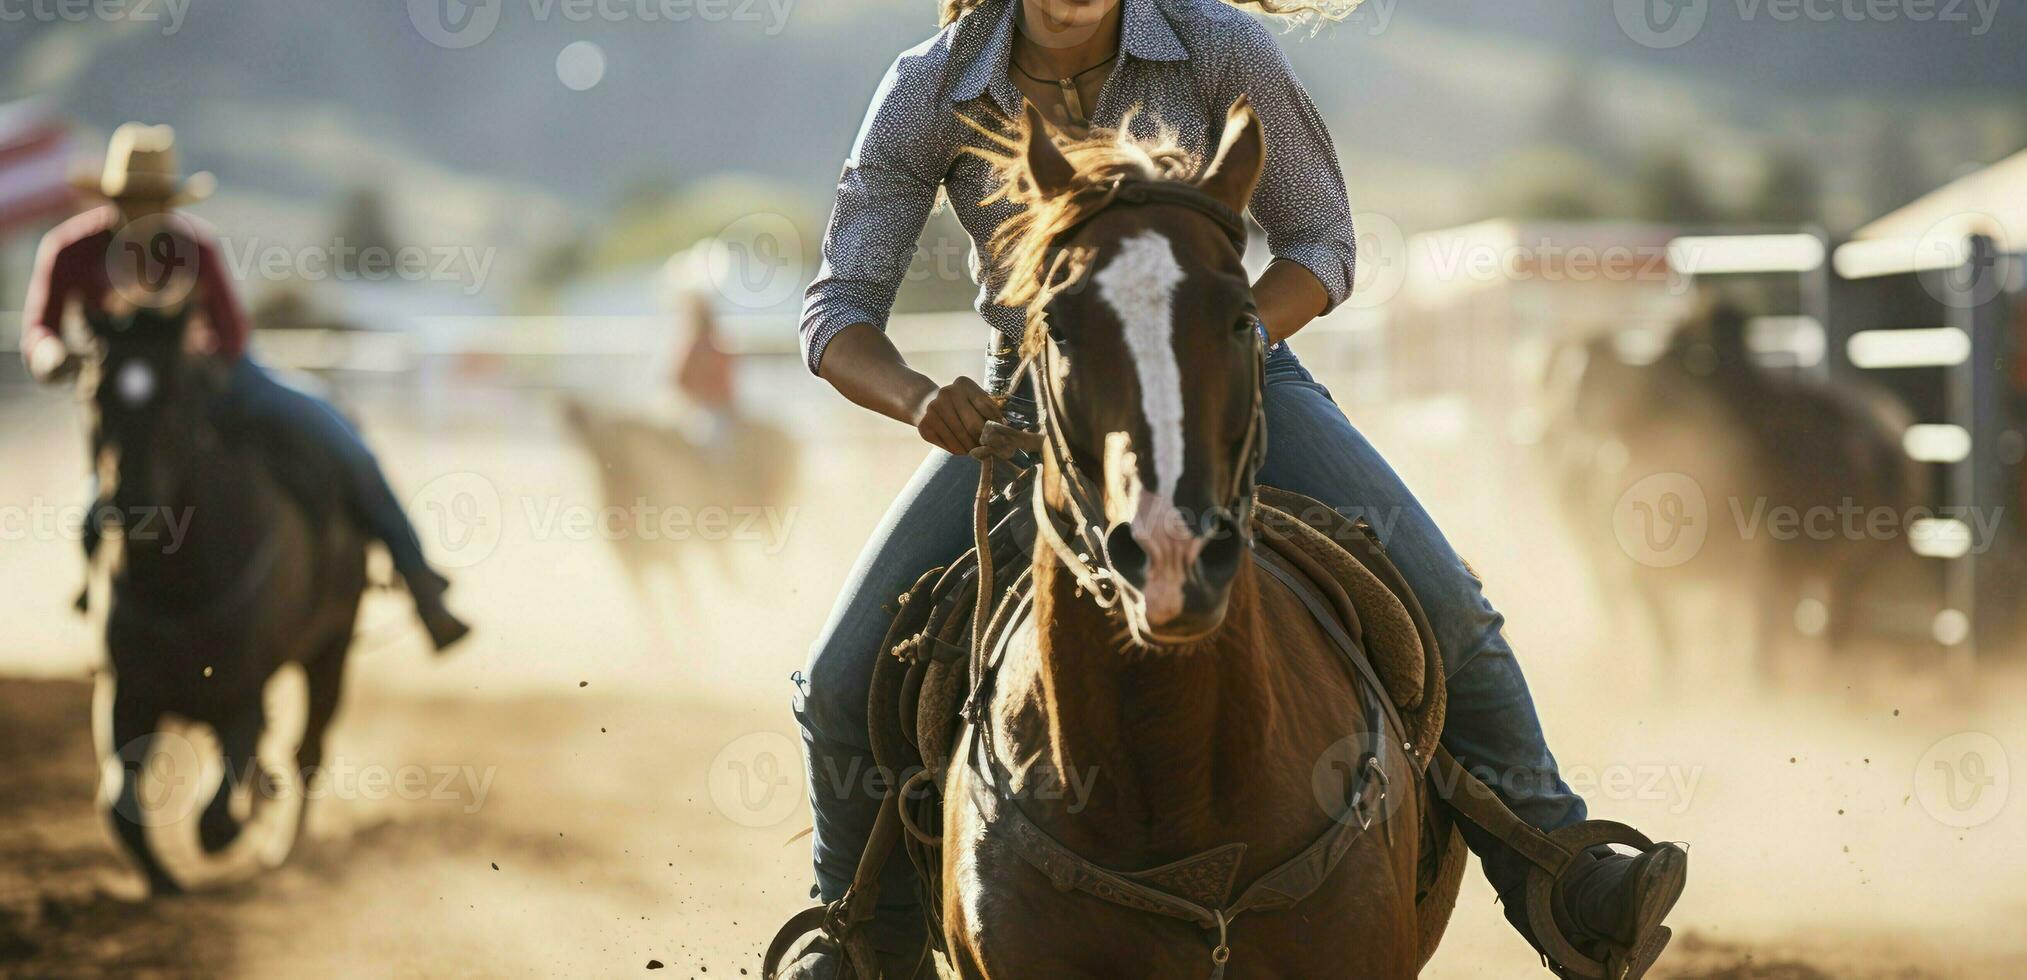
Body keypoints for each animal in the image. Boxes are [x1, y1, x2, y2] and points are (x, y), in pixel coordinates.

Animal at [79, 302, 366, 892]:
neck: (179, 589)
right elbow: (119, 805)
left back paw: (282, 847)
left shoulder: (242, 696)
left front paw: (249, 811)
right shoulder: (126, 692)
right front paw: (164, 883)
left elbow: (215, 818)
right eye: (95, 393)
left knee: (308, 750)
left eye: (177, 398)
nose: (132, 505)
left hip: (332, 650)